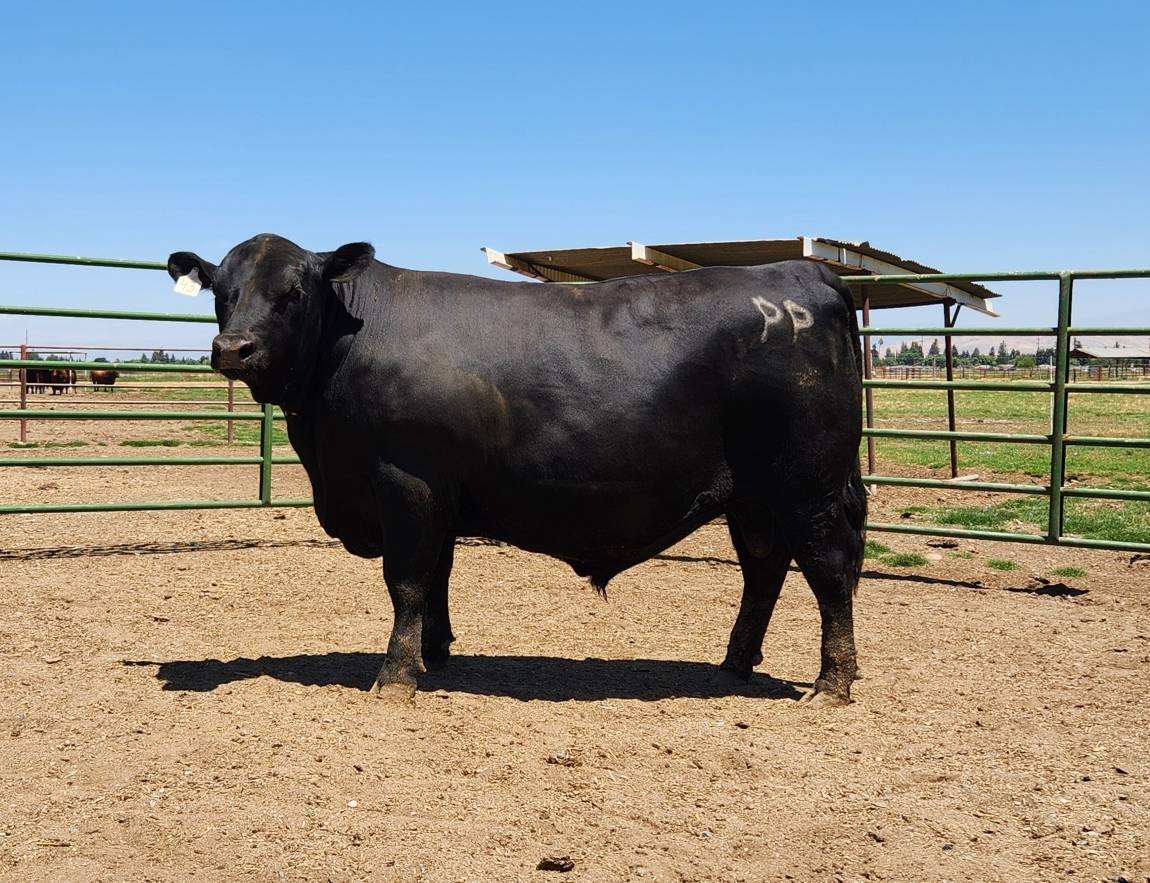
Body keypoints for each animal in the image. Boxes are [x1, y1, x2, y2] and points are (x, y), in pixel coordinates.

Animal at [168, 234, 866, 706]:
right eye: (222, 292)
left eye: (292, 293)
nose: (233, 348)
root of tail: (805, 272)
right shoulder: (443, 490)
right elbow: (438, 577)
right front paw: (436, 654)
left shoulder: (408, 481)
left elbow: (408, 580)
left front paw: (396, 677)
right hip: (754, 496)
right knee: (764, 571)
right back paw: (734, 663)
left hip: (809, 484)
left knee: (828, 570)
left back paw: (831, 685)